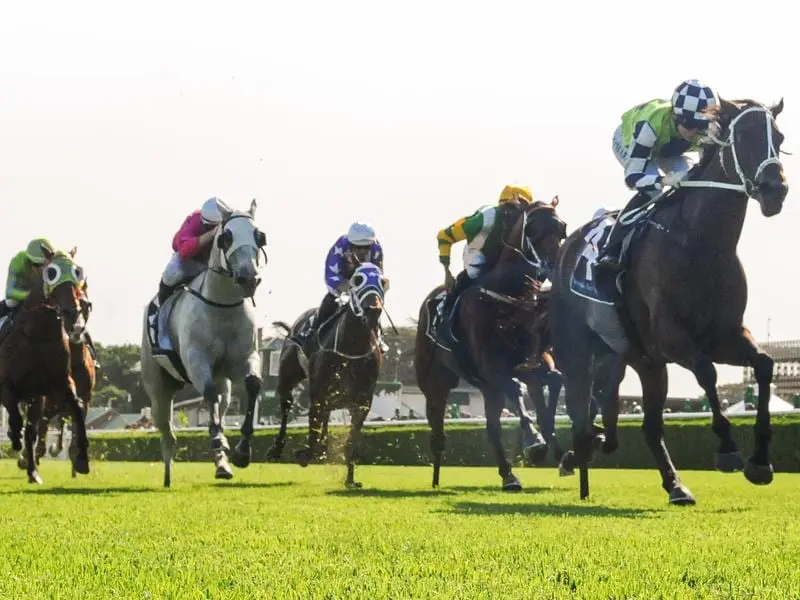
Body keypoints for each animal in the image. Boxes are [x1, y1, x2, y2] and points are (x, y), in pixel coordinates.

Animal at [0, 246, 91, 486]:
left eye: (76, 271)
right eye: (52, 273)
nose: (72, 313)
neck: (38, 334)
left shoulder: (56, 386)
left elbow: (76, 408)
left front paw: (82, 459)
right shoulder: (6, 386)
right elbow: (15, 418)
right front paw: (13, 438)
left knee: (33, 430)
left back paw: (33, 472)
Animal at [270, 262, 390, 488]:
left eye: (383, 282)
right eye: (357, 280)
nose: (373, 310)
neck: (351, 349)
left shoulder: (362, 402)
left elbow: (350, 442)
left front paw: (351, 480)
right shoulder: (318, 394)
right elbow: (313, 432)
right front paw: (305, 454)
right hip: (288, 376)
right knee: (286, 406)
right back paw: (276, 449)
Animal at [416, 199, 564, 490]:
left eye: (561, 227)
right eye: (533, 230)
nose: (554, 266)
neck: (507, 297)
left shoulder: (531, 361)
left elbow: (553, 380)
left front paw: (556, 444)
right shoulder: (492, 366)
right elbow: (517, 390)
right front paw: (535, 442)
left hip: (487, 388)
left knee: (492, 427)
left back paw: (509, 474)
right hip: (436, 383)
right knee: (438, 426)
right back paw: (438, 473)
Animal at [552, 97, 788, 502]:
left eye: (781, 137)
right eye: (744, 135)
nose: (776, 189)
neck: (702, 245)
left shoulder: (724, 335)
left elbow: (764, 366)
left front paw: (760, 462)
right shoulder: (672, 338)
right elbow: (707, 373)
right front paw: (728, 449)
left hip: (642, 360)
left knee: (645, 425)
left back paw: (673, 484)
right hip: (578, 351)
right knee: (581, 405)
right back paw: (576, 454)